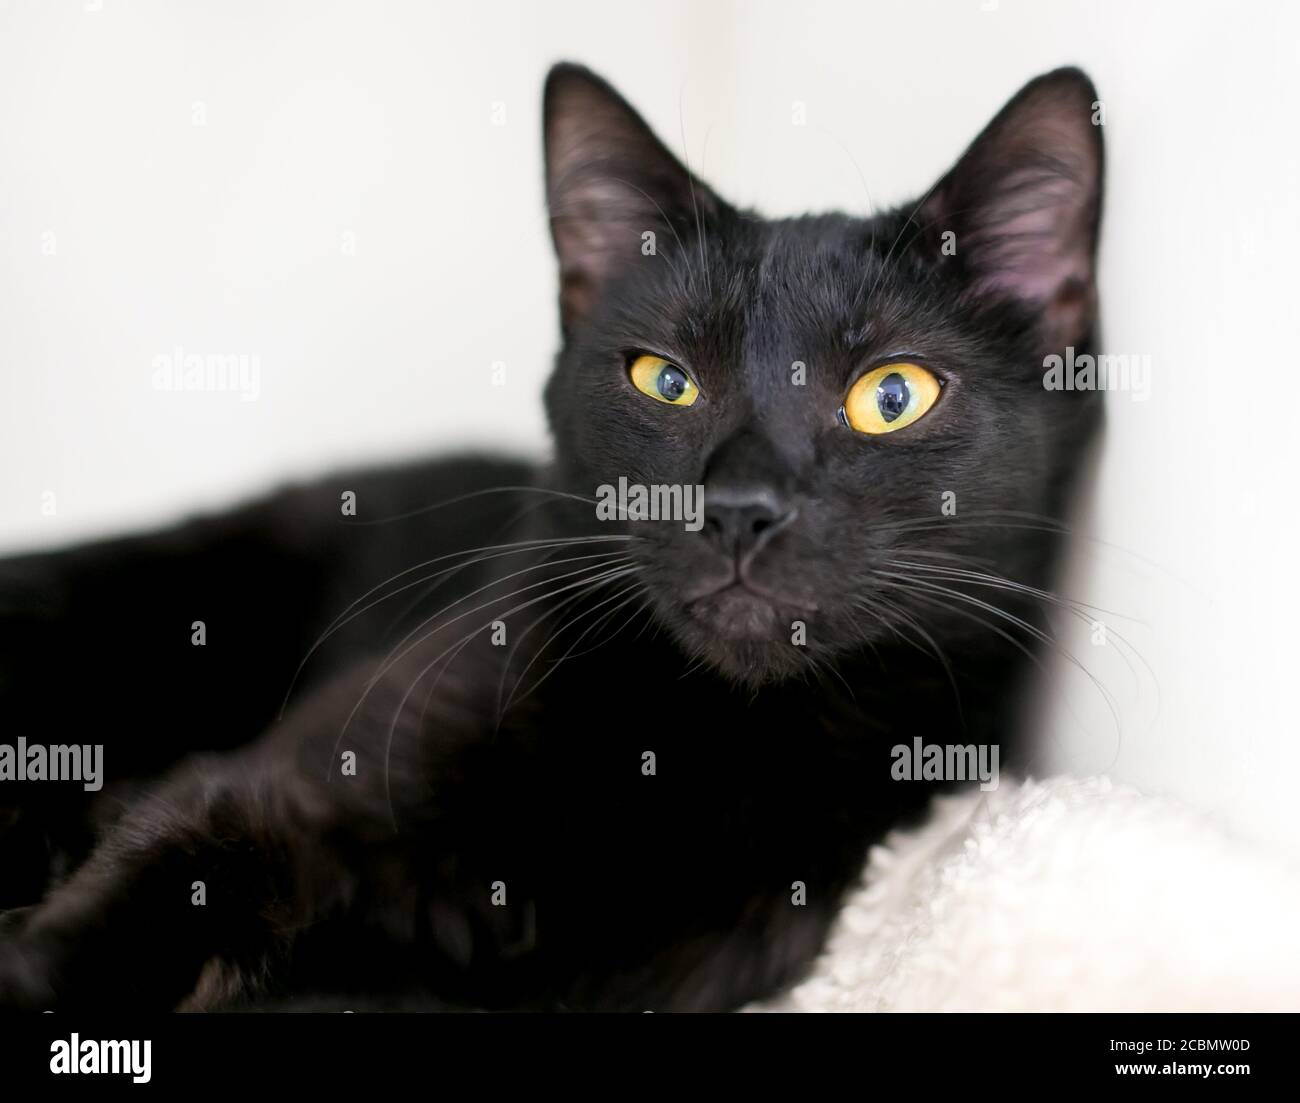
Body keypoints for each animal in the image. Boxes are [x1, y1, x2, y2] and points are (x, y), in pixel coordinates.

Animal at [0, 60, 1107, 1009]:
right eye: (665, 379)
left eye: (892, 394)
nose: (740, 505)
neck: (699, 742)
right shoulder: (269, 793)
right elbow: (156, 879)